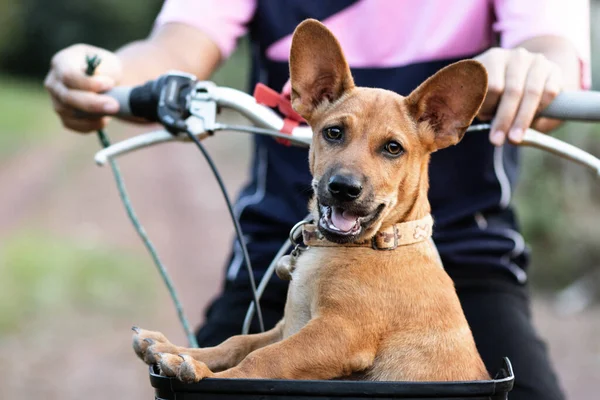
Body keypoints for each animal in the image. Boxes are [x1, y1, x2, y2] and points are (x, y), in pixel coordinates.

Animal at [134, 20, 490, 382]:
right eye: (333, 132)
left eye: (393, 148)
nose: (344, 188)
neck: (382, 240)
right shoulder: (288, 326)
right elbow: (237, 342)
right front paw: (177, 350)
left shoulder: (339, 332)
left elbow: (262, 360)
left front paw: (205, 374)